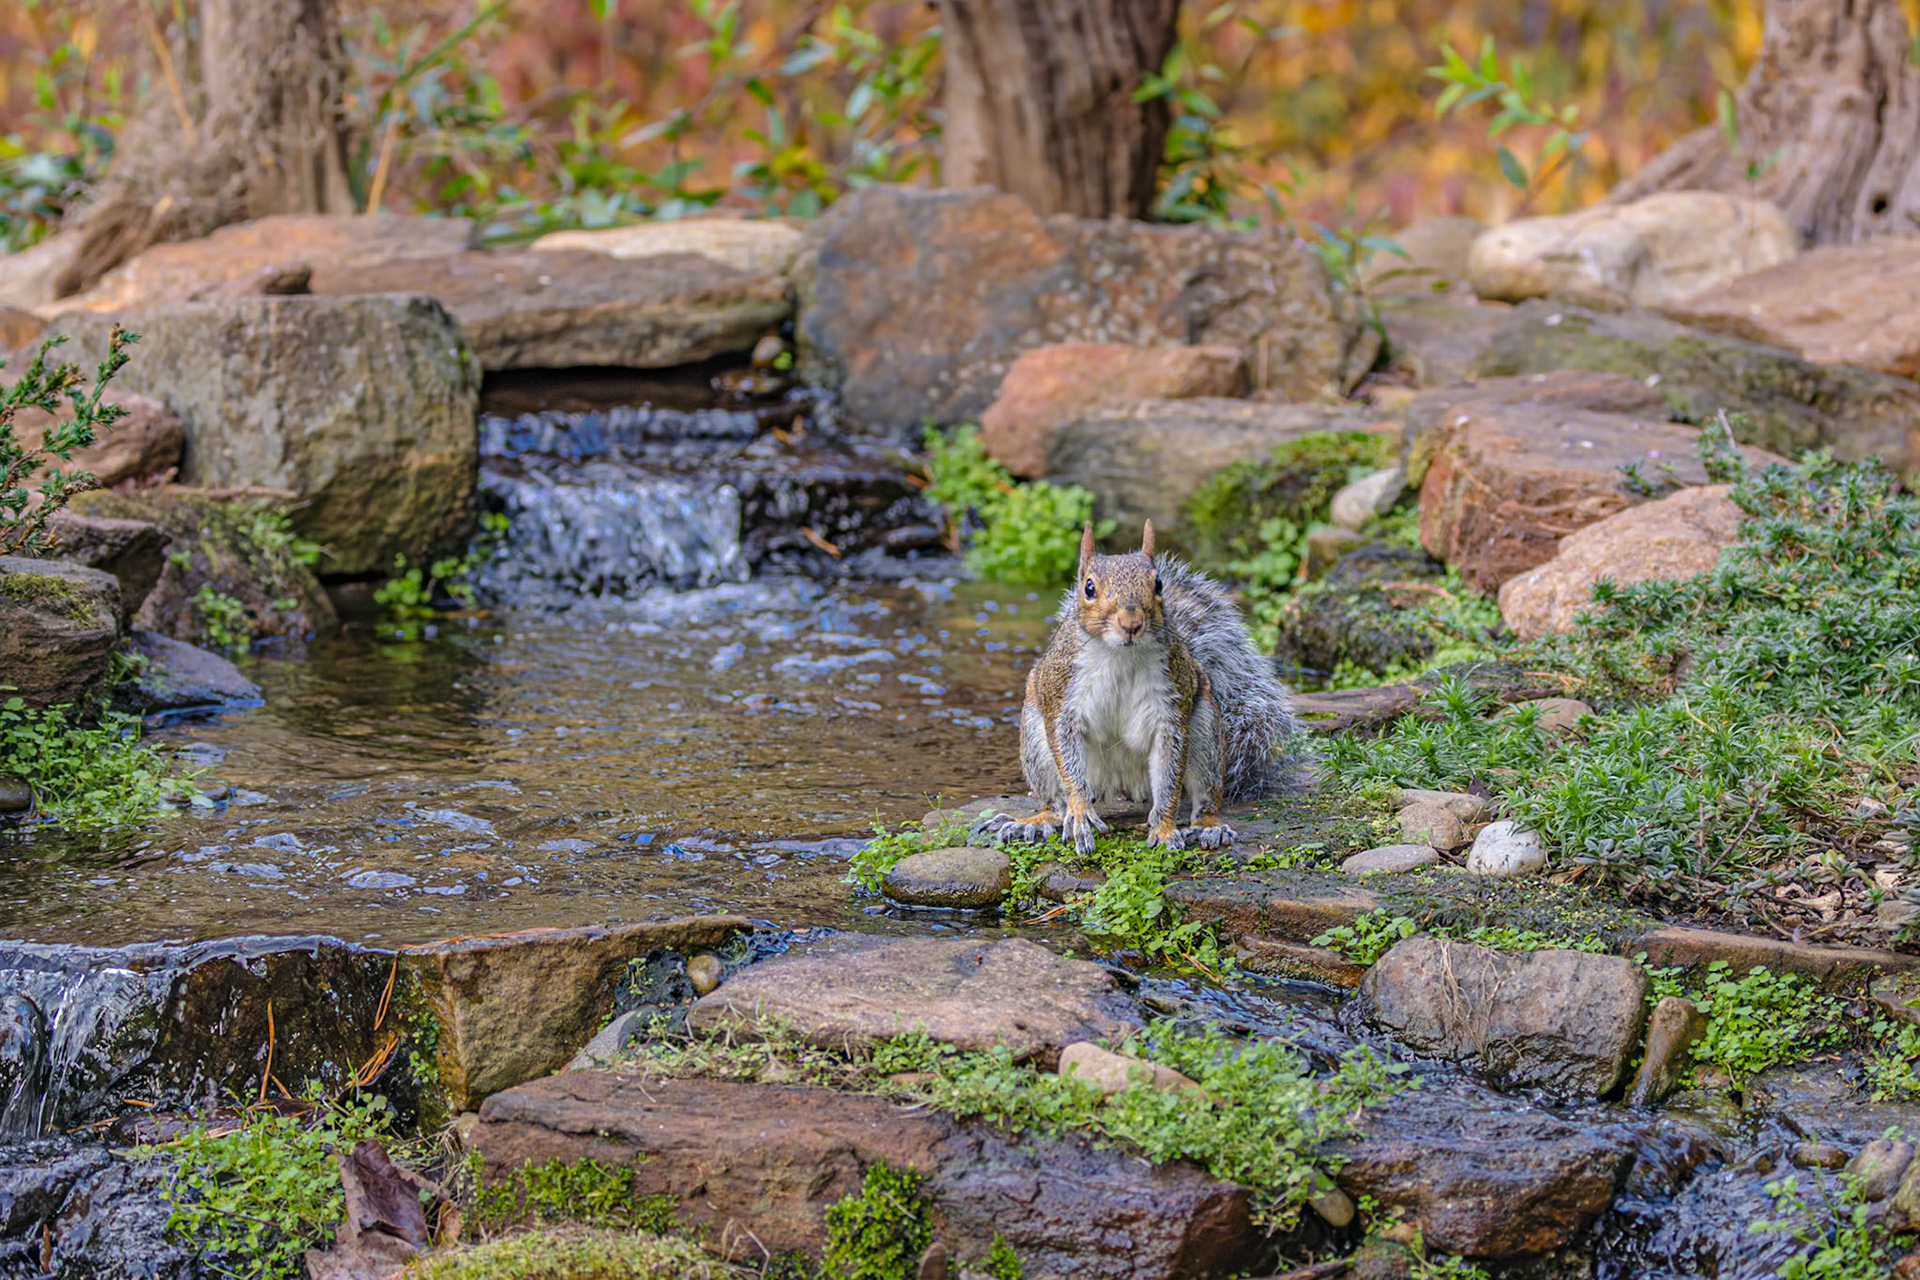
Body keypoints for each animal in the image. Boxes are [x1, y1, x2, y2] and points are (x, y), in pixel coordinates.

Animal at [982, 520, 1305, 854]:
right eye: (1088, 588)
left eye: (1158, 584)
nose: (1131, 623)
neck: (1120, 655)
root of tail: (1122, 783)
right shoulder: (1061, 698)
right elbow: (1068, 761)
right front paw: (1082, 812)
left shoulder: (1170, 711)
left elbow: (1169, 777)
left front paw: (1163, 829)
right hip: (1035, 744)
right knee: (1054, 801)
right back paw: (1036, 822)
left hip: (1206, 736)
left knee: (1205, 794)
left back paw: (1208, 826)